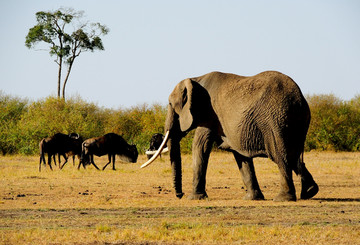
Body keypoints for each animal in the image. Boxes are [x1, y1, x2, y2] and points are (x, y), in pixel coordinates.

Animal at [142, 70, 320, 201]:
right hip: (295, 121)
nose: (180, 195)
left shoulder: (208, 114)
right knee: (294, 155)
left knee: (280, 155)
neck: (196, 78)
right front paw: (251, 199)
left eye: (171, 105)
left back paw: (283, 198)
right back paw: (310, 192)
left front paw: (194, 198)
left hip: (274, 120)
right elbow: (240, 155)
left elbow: (200, 146)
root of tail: (299, 98)